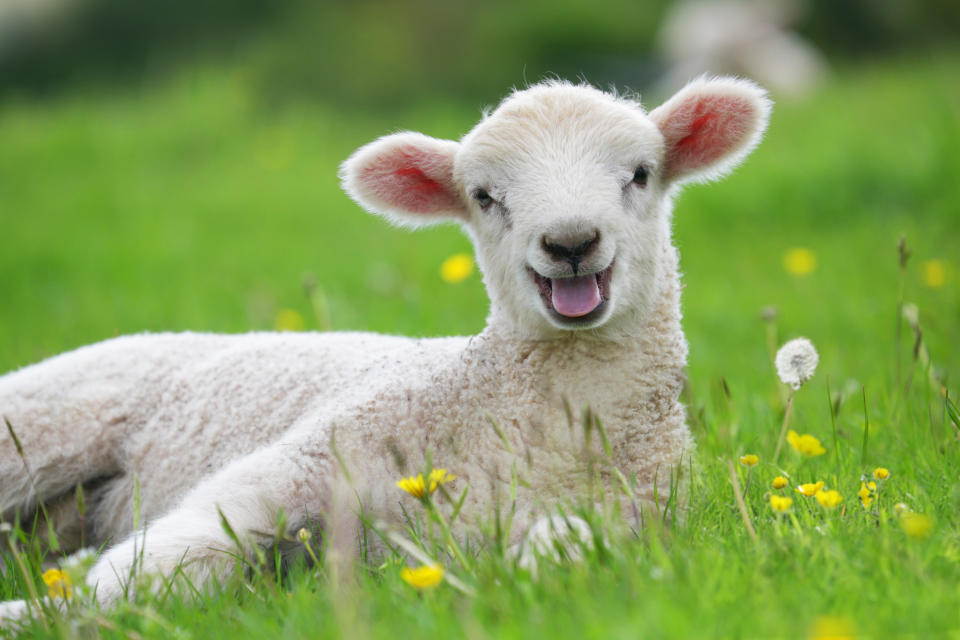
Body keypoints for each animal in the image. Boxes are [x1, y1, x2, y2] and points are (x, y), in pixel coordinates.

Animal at [0, 75, 768, 620]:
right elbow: (160, 564)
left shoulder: (637, 513)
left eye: (639, 174)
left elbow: (563, 553)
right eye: (484, 196)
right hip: (38, 426)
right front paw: (44, 613)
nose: (571, 242)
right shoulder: (307, 457)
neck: (528, 423)